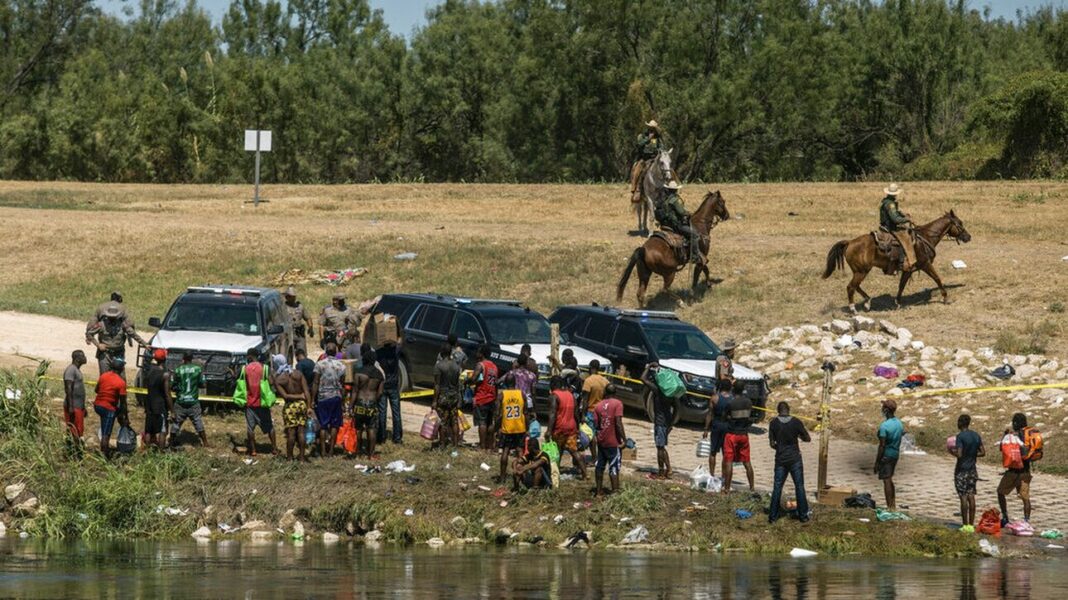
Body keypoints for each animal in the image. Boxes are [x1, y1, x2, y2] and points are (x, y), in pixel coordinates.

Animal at [820, 209, 974, 309]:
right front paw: (946, 298)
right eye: (960, 223)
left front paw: (898, 302)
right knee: (851, 287)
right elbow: (937, 278)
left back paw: (868, 301)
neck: (925, 237)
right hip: (861, 271)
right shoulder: (925, 264)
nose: (968, 237)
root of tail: (850, 242)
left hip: (861, 271)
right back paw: (853, 309)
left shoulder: (908, 270)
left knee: (856, 286)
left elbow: (901, 285)